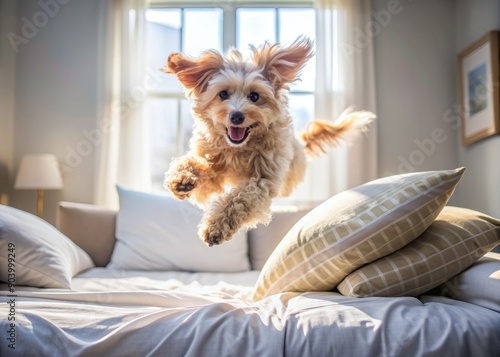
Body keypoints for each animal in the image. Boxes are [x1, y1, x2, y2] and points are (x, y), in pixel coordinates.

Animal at [164, 37, 376, 246]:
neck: (238, 150)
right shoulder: (211, 169)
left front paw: (215, 226)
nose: (236, 116)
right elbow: (197, 166)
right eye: (223, 94)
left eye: (254, 96)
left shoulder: (262, 180)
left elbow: (240, 198)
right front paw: (182, 178)